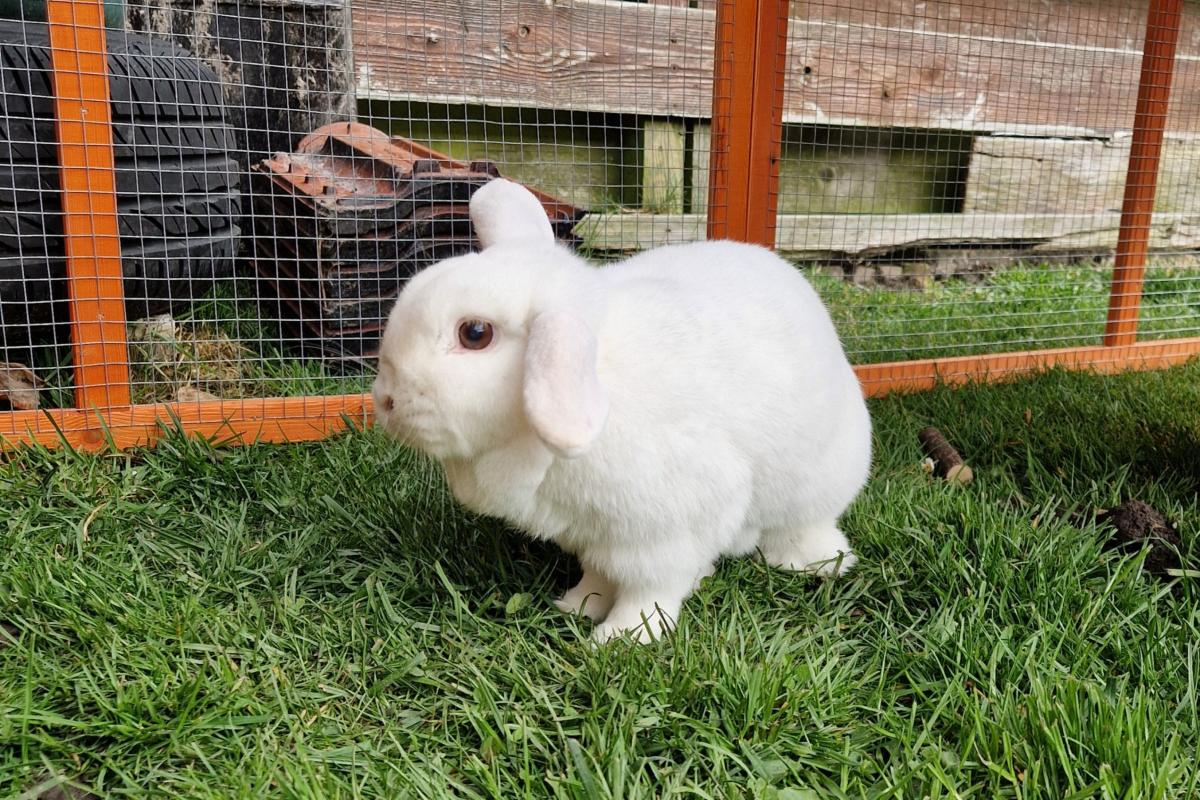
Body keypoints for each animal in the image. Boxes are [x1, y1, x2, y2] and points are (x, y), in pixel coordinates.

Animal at [372, 178, 872, 643]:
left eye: (475, 333)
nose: (385, 399)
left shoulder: (664, 536)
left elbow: (649, 592)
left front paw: (621, 637)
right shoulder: (596, 535)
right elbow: (600, 574)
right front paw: (578, 605)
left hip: (812, 492)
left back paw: (812, 563)